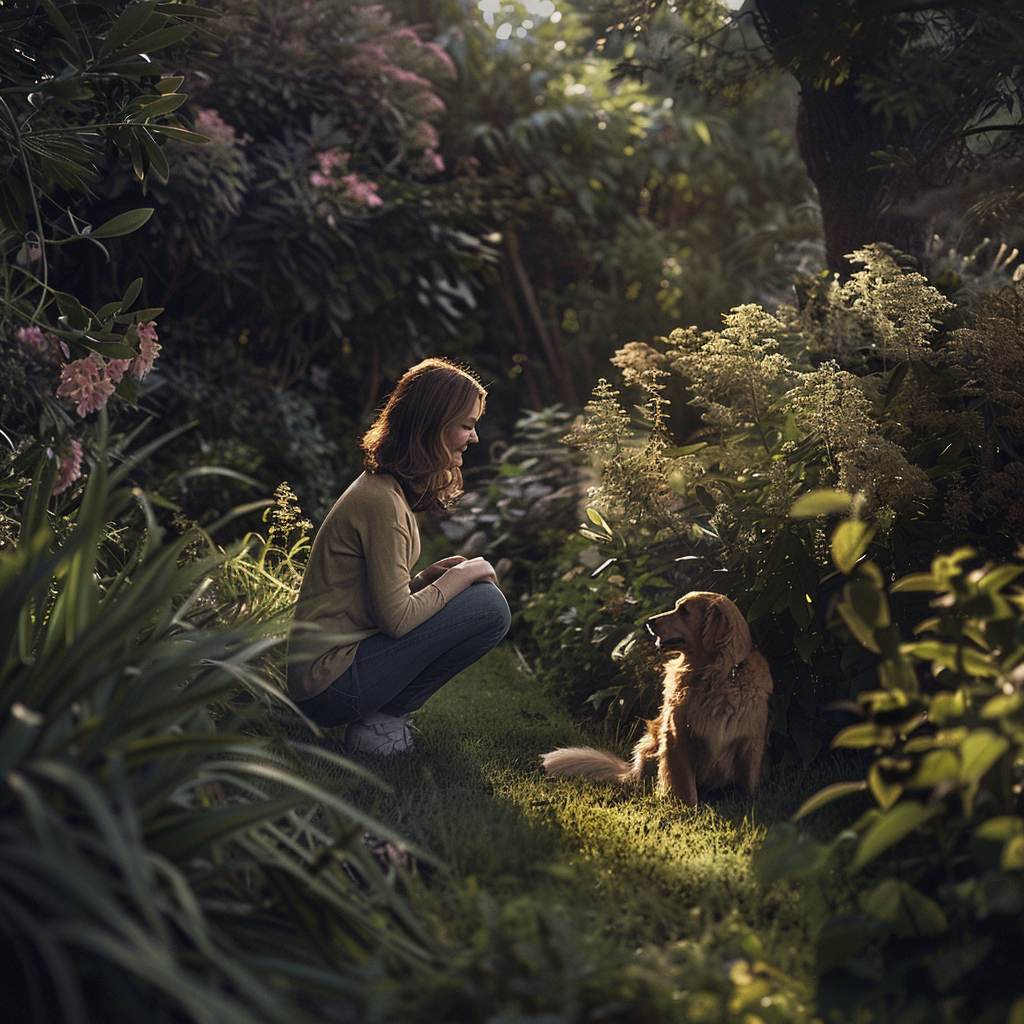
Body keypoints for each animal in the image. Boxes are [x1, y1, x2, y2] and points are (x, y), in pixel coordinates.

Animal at [540, 598, 770, 802]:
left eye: (684, 611)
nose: (649, 621)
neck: (716, 676)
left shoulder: (750, 742)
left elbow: (750, 783)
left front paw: (751, 804)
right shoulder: (677, 738)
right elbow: (684, 786)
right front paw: (686, 809)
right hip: (650, 746)